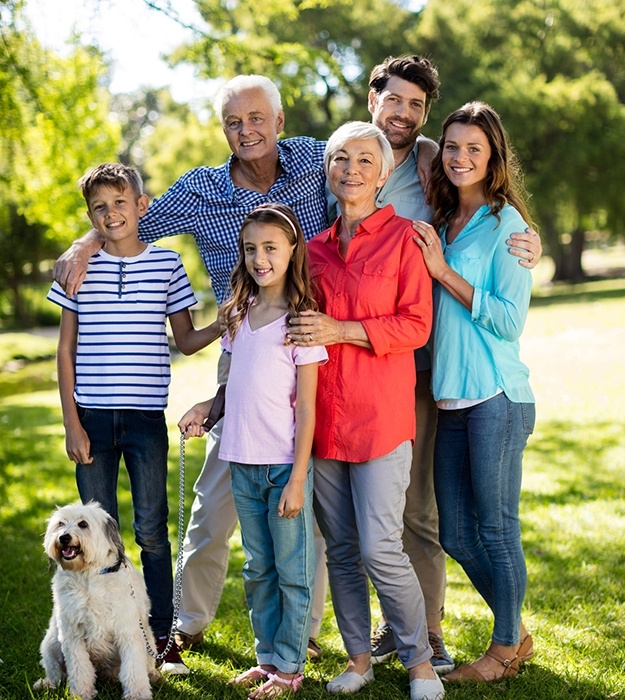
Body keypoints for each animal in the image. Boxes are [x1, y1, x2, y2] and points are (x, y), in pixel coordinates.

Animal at [33, 504, 161, 700]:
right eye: (61, 523)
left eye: (83, 524)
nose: (64, 537)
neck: (89, 577)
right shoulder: (72, 636)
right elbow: (79, 669)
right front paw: (81, 693)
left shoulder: (128, 632)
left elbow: (133, 668)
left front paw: (138, 694)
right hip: (51, 644)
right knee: (55, 672)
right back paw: (46, 684)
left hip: (149, 640)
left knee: (146, 664)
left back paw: (153, 675)